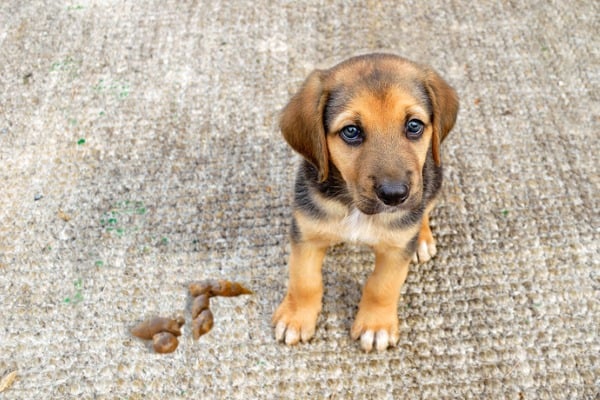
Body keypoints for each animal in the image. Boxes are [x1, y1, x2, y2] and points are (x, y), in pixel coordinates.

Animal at [274, 53, 460, 350]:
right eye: (351, 131)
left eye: (414, 126)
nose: (394, 195)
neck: (354, 208)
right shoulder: (306, 234)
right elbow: (304, 281)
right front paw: (295, 317)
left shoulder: (395, 251)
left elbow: (382, 286)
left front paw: (376, 325)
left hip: (434, 180)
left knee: (424, 211)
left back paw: (421, 239)